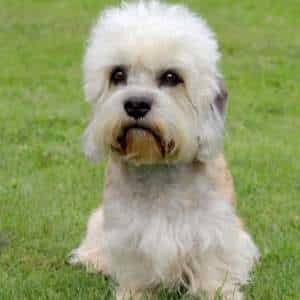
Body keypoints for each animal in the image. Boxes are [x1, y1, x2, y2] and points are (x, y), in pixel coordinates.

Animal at [69, 1, 258, 298]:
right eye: (118, 74)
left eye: (171, 77)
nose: (136, 104)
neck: (158, 167)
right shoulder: (127, 234)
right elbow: (136, 271)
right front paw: (132, 293)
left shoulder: (214, 232)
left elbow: (212, 270)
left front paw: (219, 292)